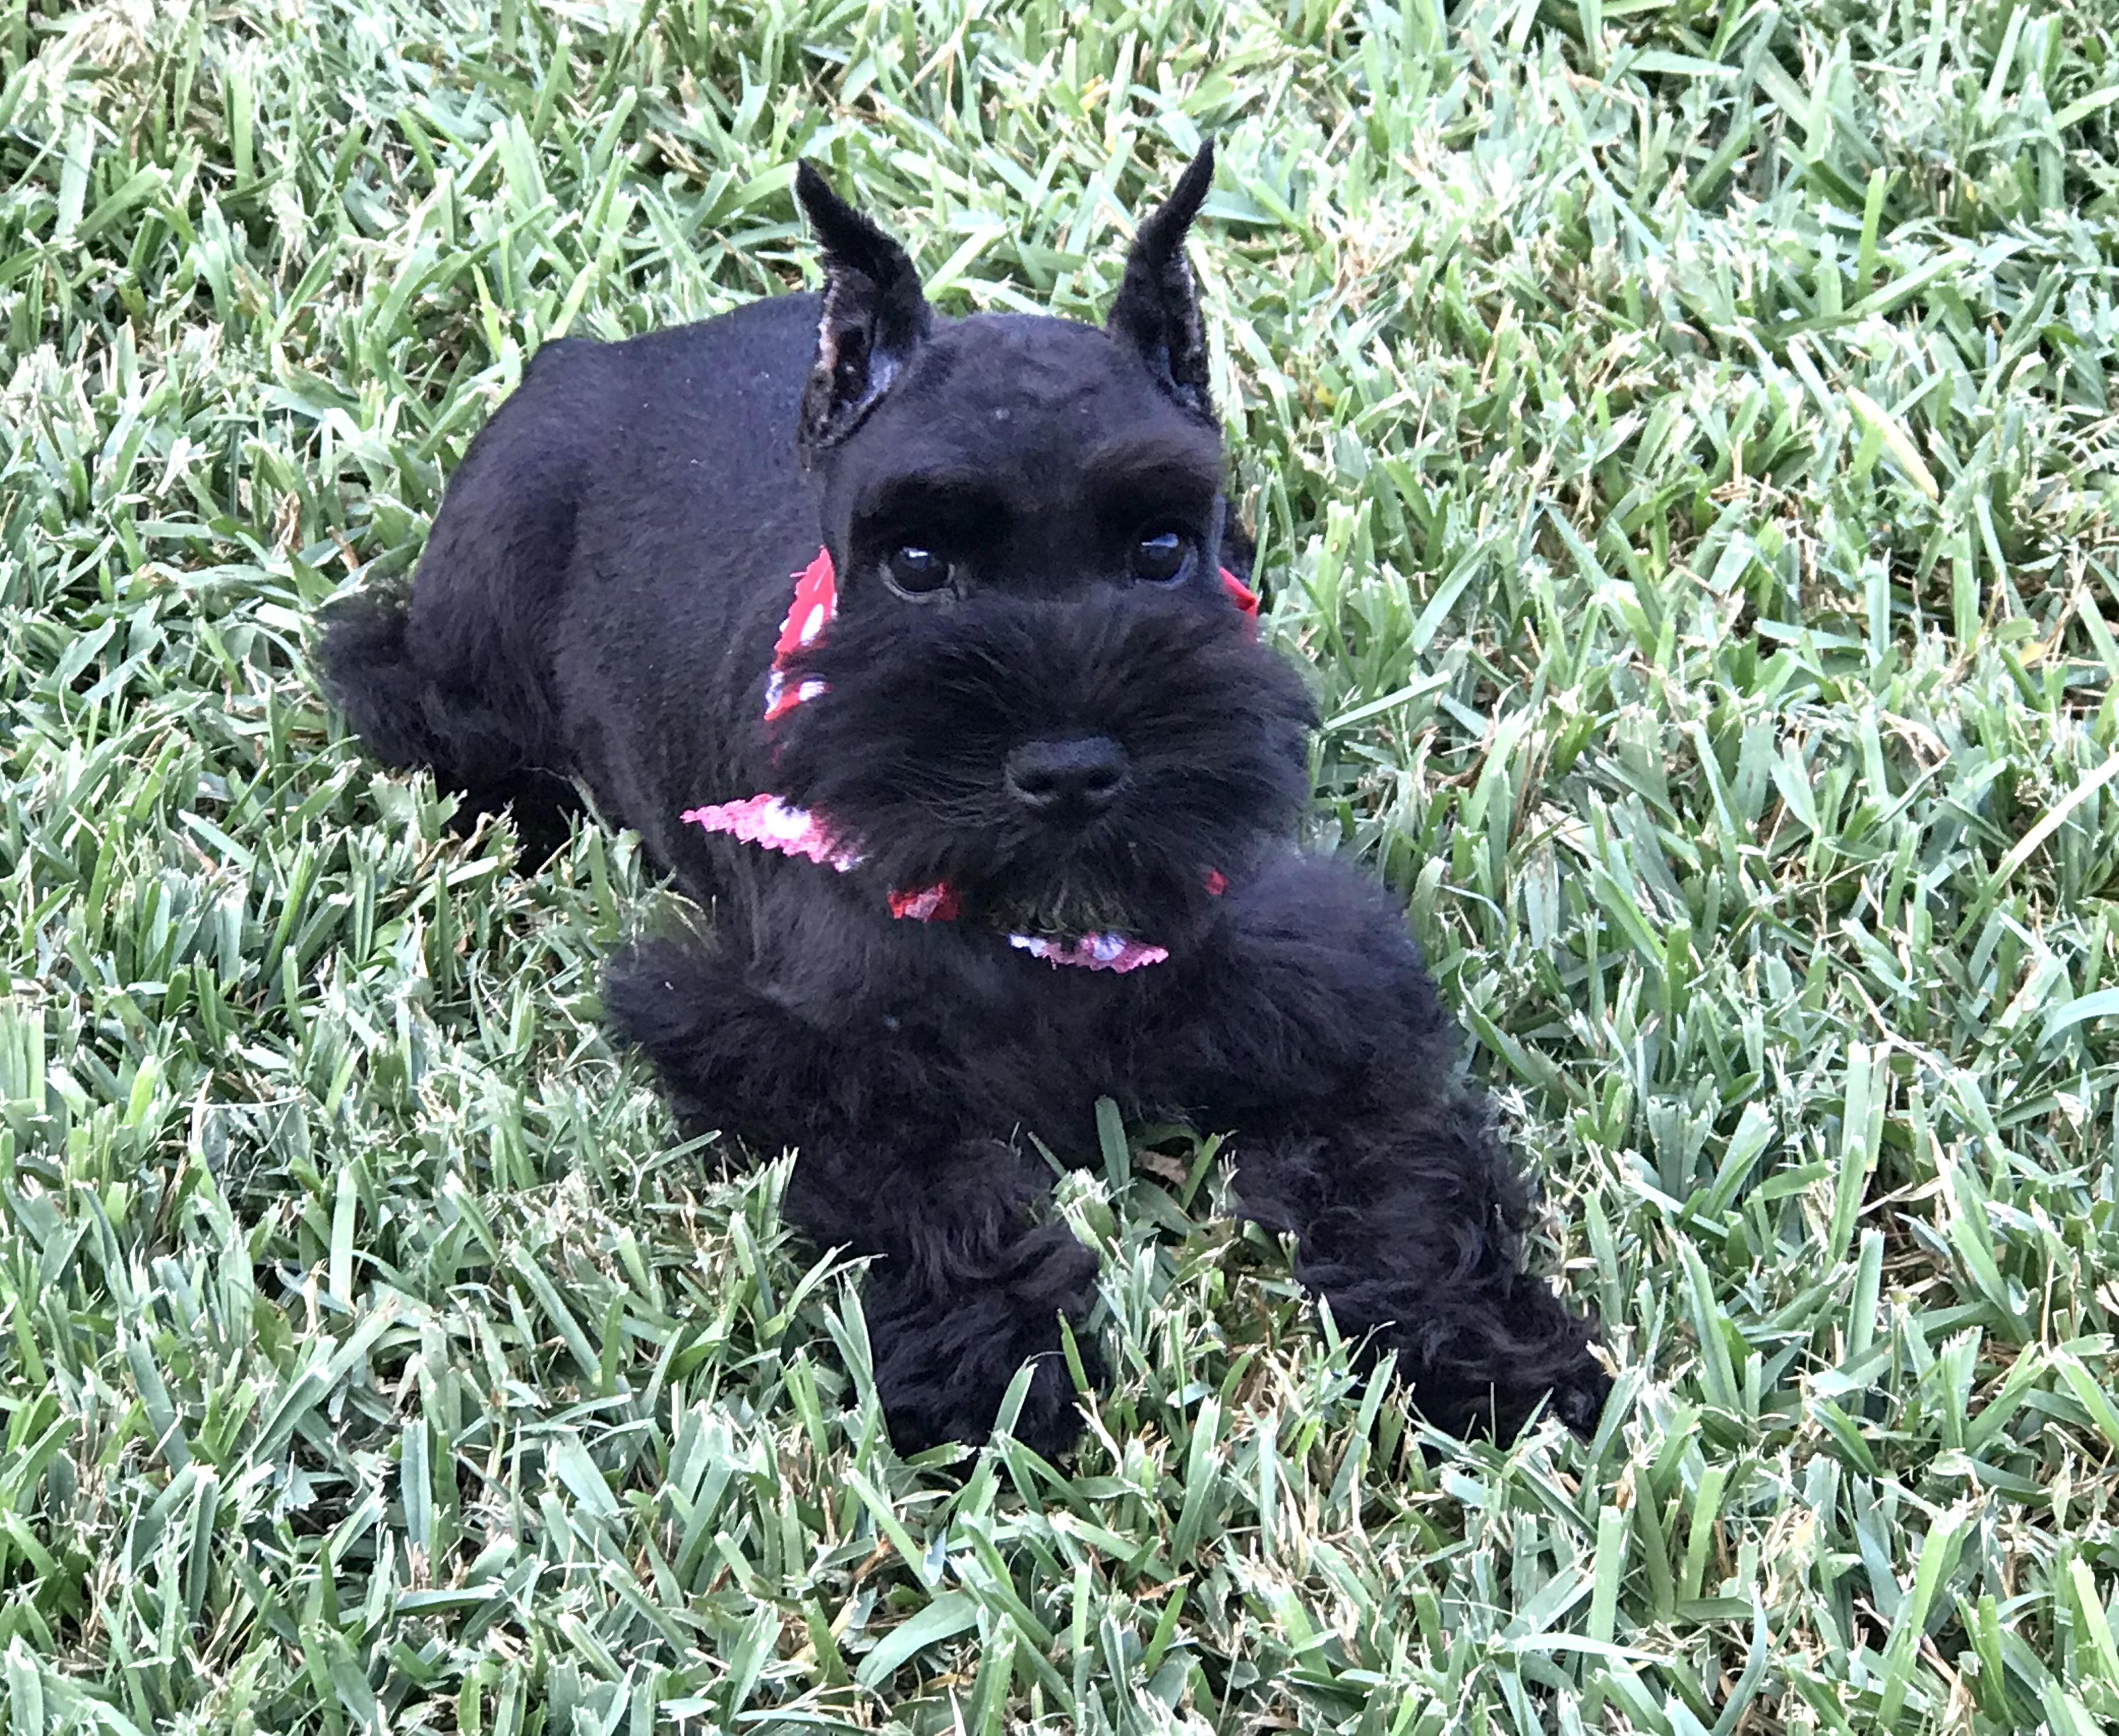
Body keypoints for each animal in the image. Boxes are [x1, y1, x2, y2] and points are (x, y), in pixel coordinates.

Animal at [317, 143, 1610, 1456]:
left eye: (1162, 548)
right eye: (917, 561)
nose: (1071, 770)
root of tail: (596, 354)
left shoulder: (1328, 994)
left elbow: (1401, 1165)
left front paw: (1484, 1348)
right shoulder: (792, 1041)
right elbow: (924, 1184)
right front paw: (995, 1366)